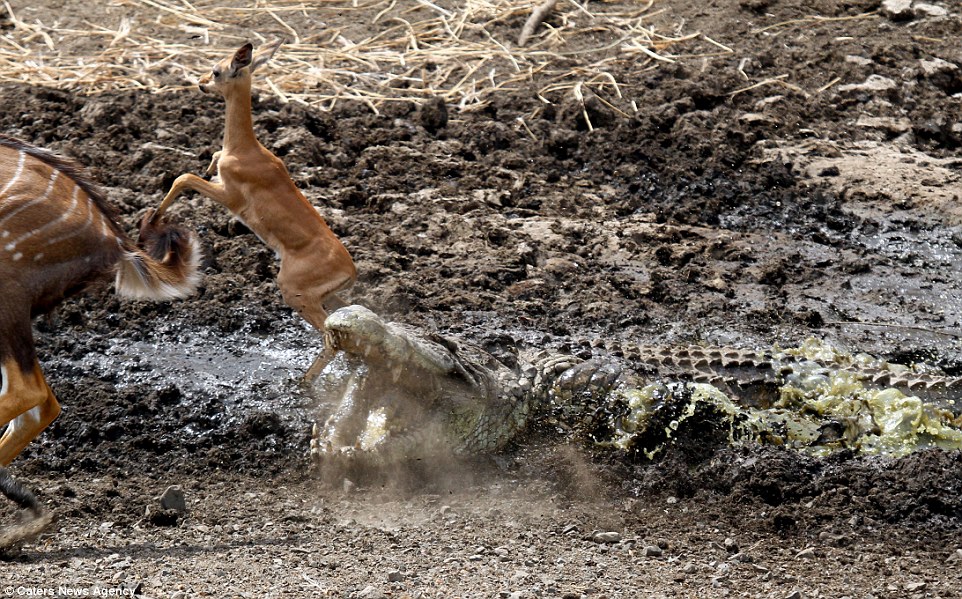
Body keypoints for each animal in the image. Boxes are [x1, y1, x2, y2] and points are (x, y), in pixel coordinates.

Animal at [154, 41, 356, 332]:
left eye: (216, 71)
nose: (201, 83)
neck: (243, 150)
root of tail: (351, 270)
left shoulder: (230, 198)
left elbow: (184, 177)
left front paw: (152, 217)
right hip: (327, 297)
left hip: (296, 293)